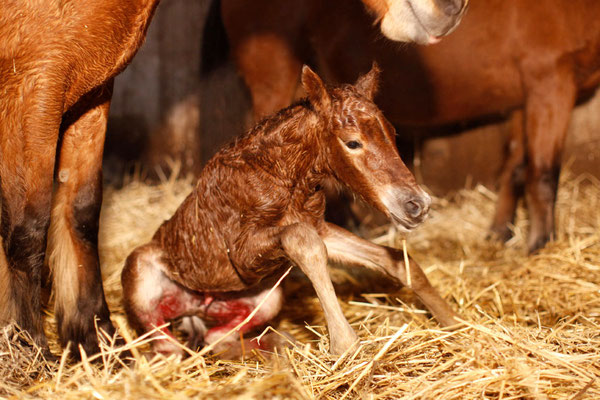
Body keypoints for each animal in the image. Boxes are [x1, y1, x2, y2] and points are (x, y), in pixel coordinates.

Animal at [122, 65, 460, 356]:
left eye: (392, 133)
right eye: (352, 143)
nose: (416, 204)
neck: (281, 177)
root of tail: (195, 307)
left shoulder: (319, 226)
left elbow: (397, 261)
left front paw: (455, 324)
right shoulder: (241, 253)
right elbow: (302, 242)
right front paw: (345, 344)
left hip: (266, 299)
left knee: (218, 338)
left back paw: (278, 347)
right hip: (141, 274)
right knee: (169, 348)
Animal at [223, 0, 600, 252]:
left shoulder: (523, 99)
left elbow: (515, 167)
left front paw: (499, 233)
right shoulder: (550, 82)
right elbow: (543, 174)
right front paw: (540, 245)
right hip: (273, 78)